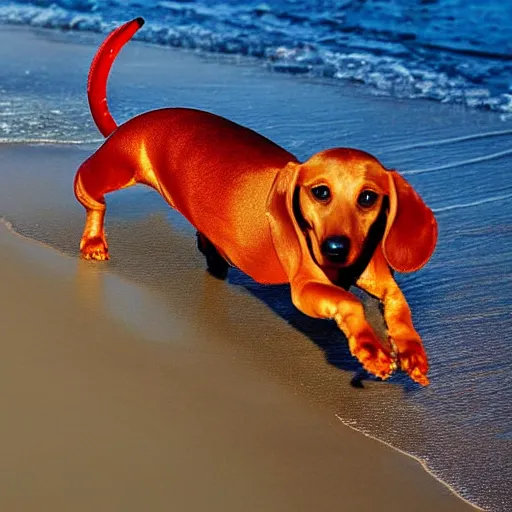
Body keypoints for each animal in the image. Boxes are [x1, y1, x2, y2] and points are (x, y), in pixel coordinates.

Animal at [74, 18, 438, 386]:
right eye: (320, 192)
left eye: (367, 197)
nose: (336, 248)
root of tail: (131, 125)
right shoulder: (305, 288)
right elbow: (349, 302)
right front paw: (371, 350)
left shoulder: (381, 279)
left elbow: (399, 305)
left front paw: (411, 352)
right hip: (114, 167)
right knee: (89, 192)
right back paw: (93, 240)